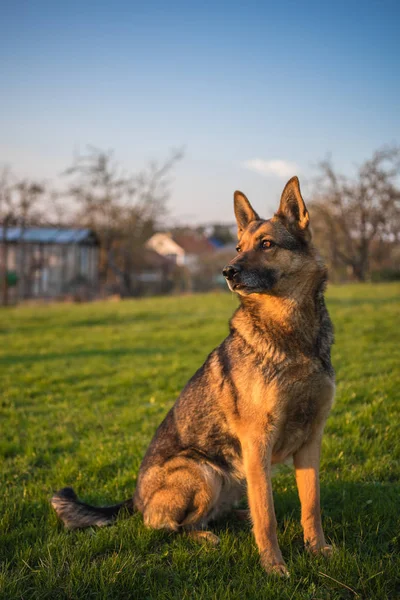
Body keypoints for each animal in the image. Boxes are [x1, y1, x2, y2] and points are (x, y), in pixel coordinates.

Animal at [52, 177, 334, 576]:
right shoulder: (257, 442)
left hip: (237, 475)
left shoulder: (311, 439)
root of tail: (135, 500)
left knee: (221, 512)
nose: (227, 272)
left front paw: (318, 551)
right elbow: (267, 516)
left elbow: (311, 506)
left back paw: (235, 520)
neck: (292, 335)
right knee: (171, 526)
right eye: (239, 247)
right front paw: (274, 567)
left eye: (267, 244)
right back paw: (206, 536)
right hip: (205, 471)